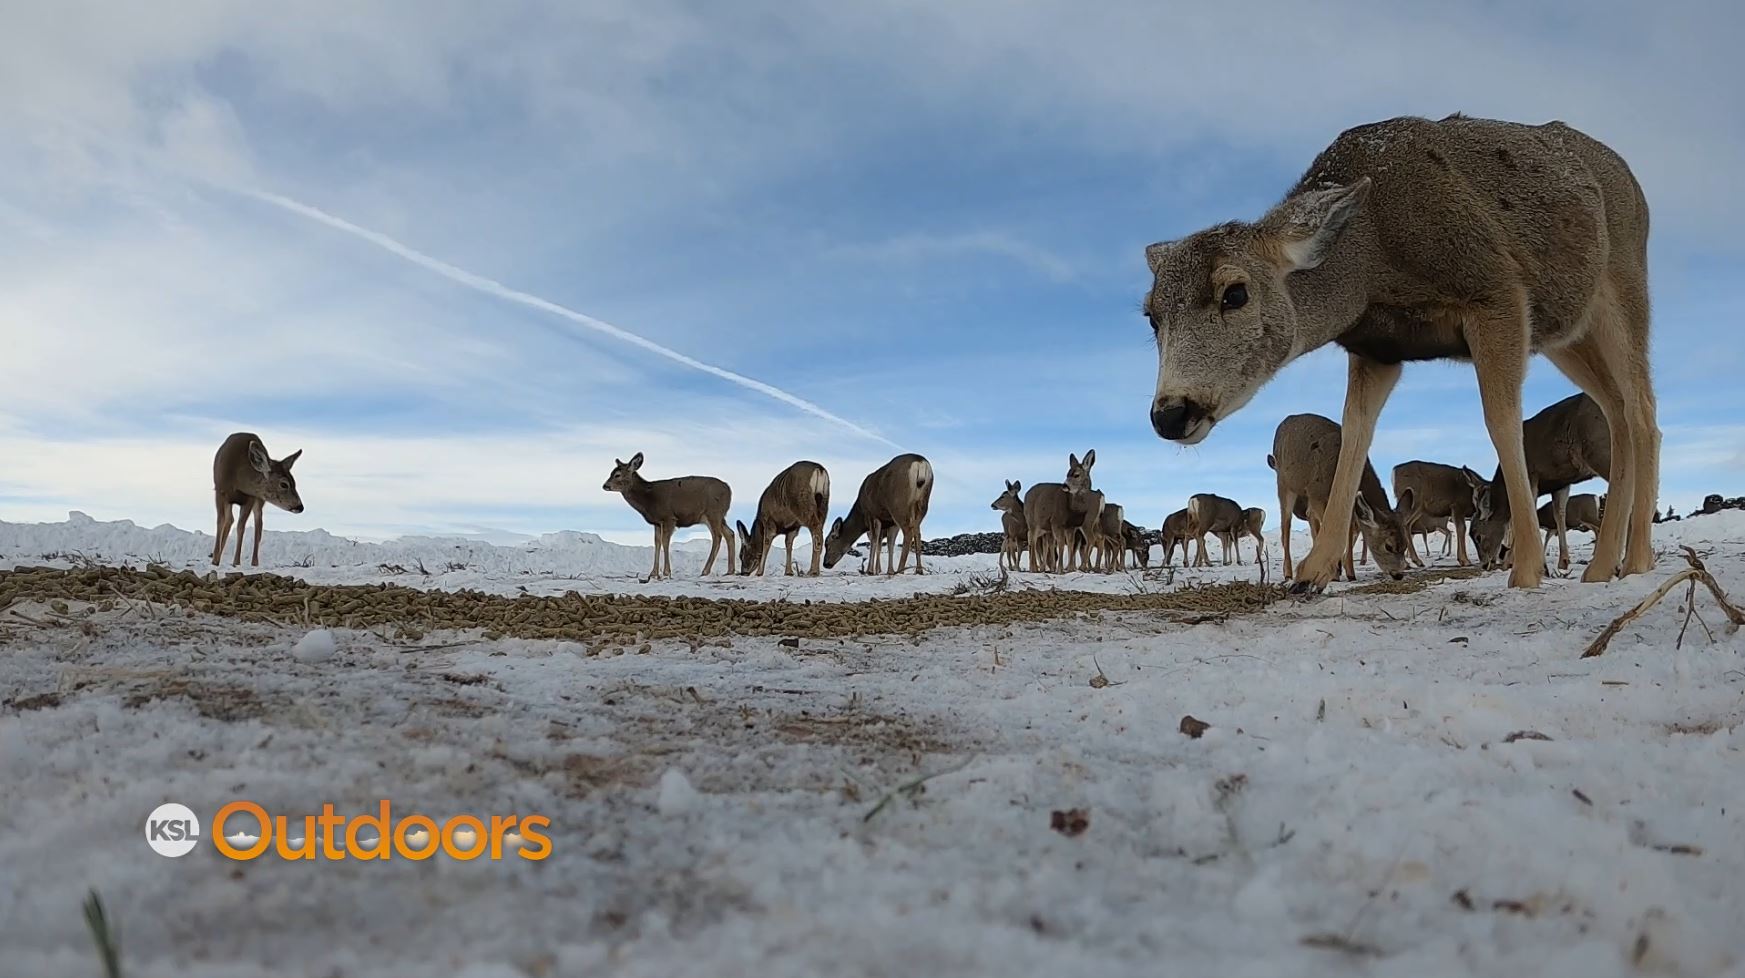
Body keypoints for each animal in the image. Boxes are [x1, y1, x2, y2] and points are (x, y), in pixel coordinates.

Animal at [211, 432, 305, 567]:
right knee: (229, 520)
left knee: (258, 524)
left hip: (259, 500)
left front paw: (236, 562)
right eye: (284, 484)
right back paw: (219, 555)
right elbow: (220, 522)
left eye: (294, 482)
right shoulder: (219, 491)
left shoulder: (251, 496)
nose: (300, 506)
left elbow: (241, 527)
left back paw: (254, 562)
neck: (237, 479)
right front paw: (215, 560)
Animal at [602, 452, 733, 580]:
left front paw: (666, 573)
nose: (605, 486)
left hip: (713, 512)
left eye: (617, 475)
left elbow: (665, 541)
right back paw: (730, 571)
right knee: (730, 533)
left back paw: (705, 571)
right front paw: (653, 573)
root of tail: (729, 490)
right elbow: (657, 542)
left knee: (717, 536)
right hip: (718, 516)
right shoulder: (657, 522)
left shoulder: (668, 517)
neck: (648, 499)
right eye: (611, 473)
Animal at [1268, 414, 1415, 583]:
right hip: (1285, 484)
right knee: (1286, 525)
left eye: (1405, 545)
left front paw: (1349, 572)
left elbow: (1348, 529)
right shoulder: (1317, 493)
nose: (1398, 574)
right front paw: (1335, 571)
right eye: (1388, 546)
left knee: (1308, 516)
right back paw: (1288, 573)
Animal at [1465, 392, 1612, 574]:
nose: (1484, 565)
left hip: (1599, 449)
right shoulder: (1561, 482)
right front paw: (1563, 561)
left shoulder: (1531, 474)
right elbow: (1559, 514)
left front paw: (1510, 562)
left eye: (1478, 535)